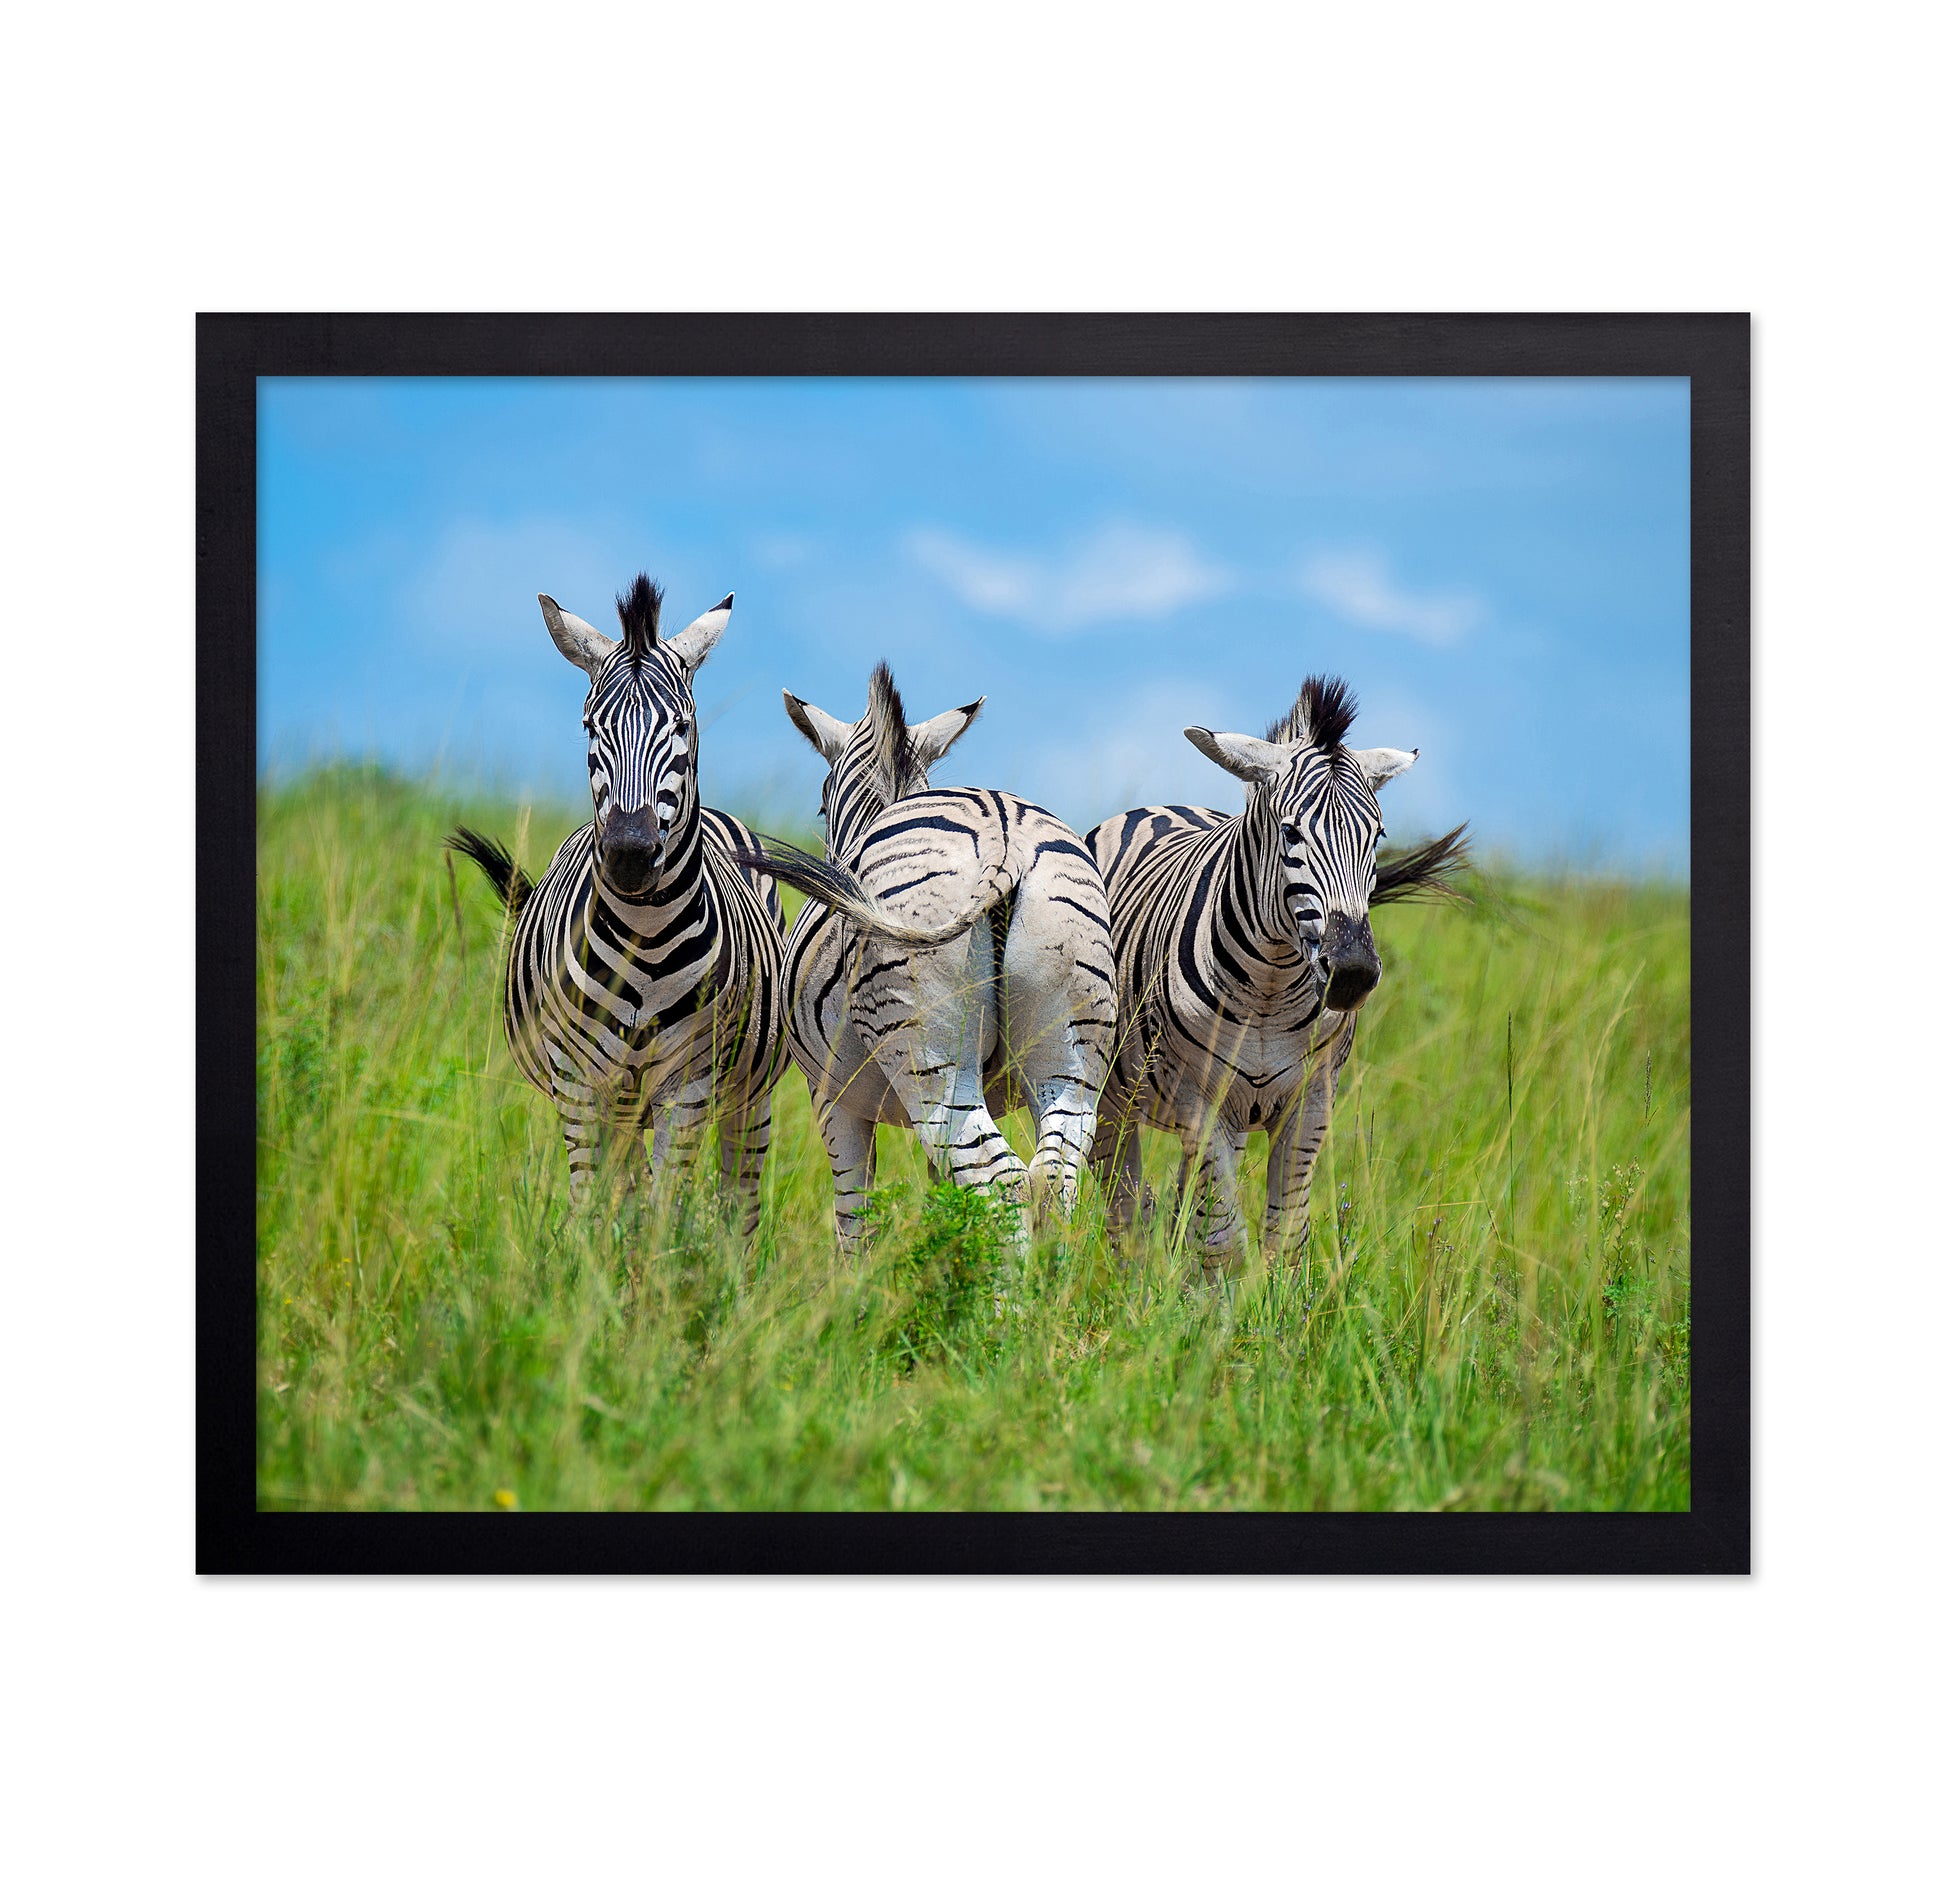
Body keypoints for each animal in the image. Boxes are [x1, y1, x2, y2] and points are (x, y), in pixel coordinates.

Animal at [447, 575, 789, 1234]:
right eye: (590, 728)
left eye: (682, 725)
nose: (630, 853)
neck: (645, 936)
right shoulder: (580, 1085)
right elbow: (594, 1210)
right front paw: (593, 1267)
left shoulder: (688, 1085)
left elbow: (664, 1216)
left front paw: (660, 1266)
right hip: (621, 1102)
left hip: (745, 1093)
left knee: (739, 1202)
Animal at [729, 663, 1116, 1251]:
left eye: (820, 803)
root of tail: (1004, 835)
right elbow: (945, 1198)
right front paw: (944, 1261)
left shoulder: (832, 1100)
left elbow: (854, 1216)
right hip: (1071, 1055)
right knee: (1052, 1179)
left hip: (929, 1055)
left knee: (1001, 1179)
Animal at [1085, 674, 1468, 1271]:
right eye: (1290, 833)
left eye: (1378, 837)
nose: (1352, 973)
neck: (1269, 988)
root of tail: (1161, 808)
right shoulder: (1199, 1098)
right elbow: (1222, 1243)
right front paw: (1214, 1301)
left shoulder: (1311, 1101)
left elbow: (1283, 1238)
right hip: (1111, 1099)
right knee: (1125, 1215)